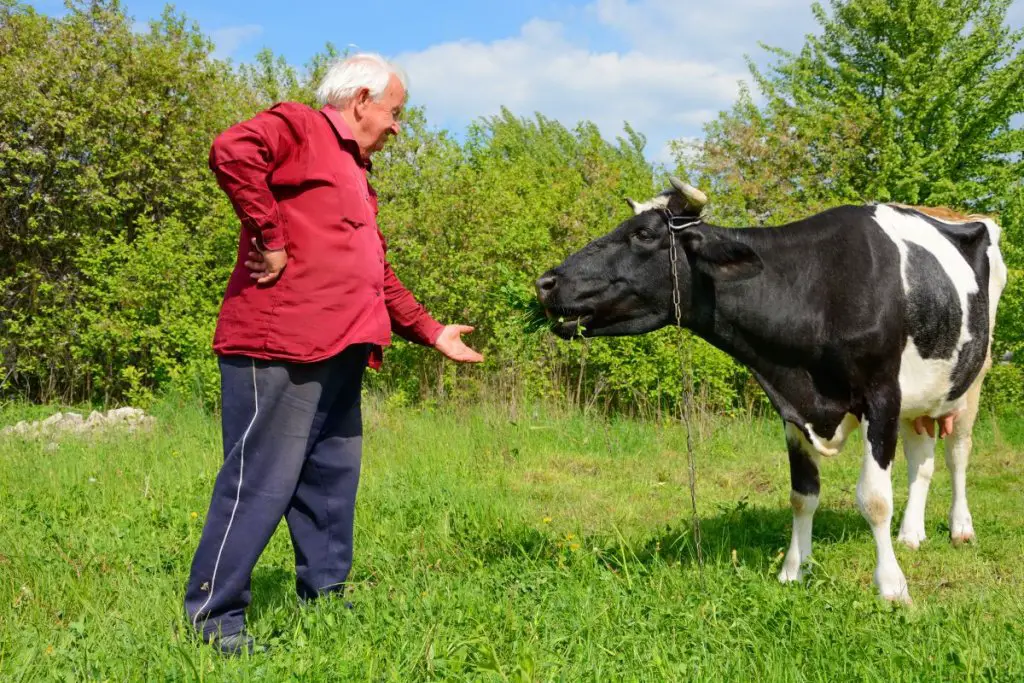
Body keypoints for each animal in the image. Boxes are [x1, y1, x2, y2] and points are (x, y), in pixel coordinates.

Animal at [535, 177, 1008, 603]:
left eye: (644, 234)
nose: (545, 282)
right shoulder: (792, 409)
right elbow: (802, 495)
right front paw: (793, 570)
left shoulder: (882, 396)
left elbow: (874, 499)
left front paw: (892, 587)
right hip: (921, 394)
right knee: (921, 460)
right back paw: (911, 534)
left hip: (973, 377)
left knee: (958, 453)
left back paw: (960, 528)